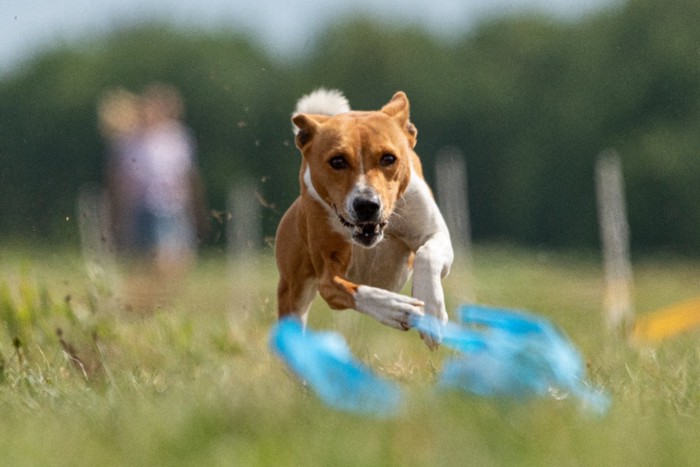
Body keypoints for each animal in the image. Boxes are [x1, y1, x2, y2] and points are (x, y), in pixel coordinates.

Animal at [274, 90, 454, 348]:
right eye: (337, 161)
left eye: (388, 158)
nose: (367, 205)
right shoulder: (328, 270)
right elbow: (345, 288)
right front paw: (397, 308)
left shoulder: (434, 233)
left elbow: (426, 254)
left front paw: (432, 311)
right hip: (292, 288)